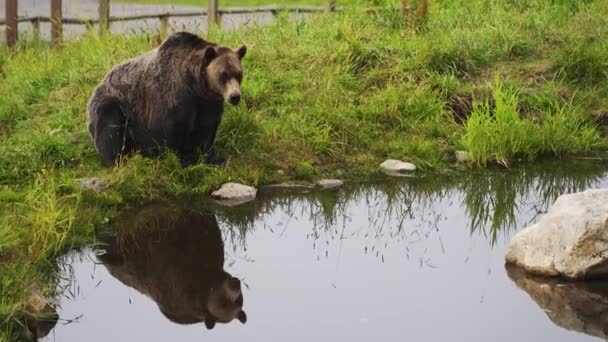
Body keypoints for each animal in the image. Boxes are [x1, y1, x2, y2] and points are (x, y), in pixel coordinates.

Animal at [86, 30, 247, 167]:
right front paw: (179, 159)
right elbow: (166, 128)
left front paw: (213, 158)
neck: (194, 86)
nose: (235, 96)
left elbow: (206, 128)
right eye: (223, 75)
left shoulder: (208, 103)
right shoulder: (172, 97)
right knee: (110, 129)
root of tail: (98, 85)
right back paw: (116, 160)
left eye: (239, 74)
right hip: (114, 103)